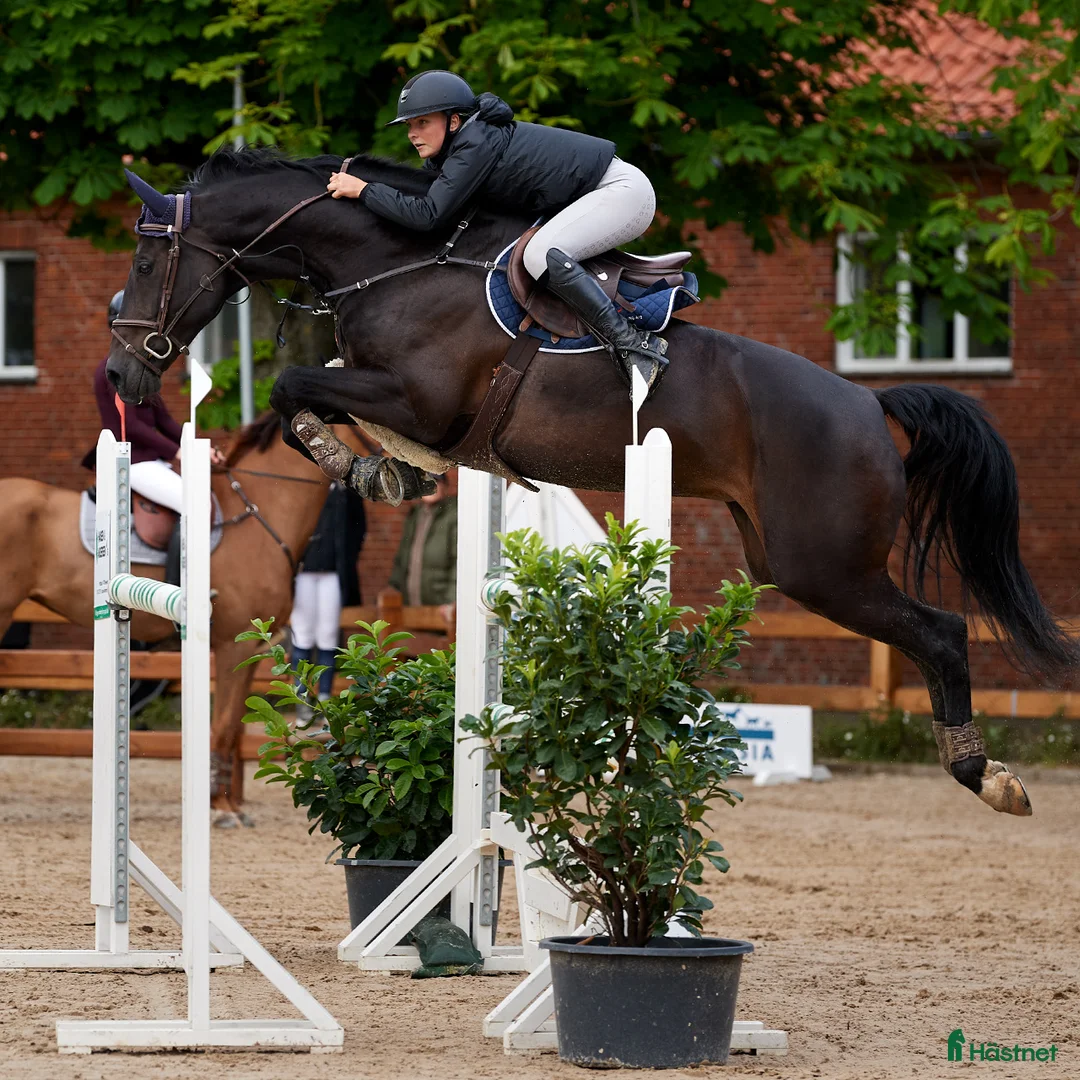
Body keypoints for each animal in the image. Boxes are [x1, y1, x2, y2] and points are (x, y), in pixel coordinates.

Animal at [0, 414, 364, 827]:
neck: (261, 512)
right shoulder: (232, 645)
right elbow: (221, 729)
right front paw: (220, 809)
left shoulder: (253, 647)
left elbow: (233, 729)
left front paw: (230, 804)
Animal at [104, 147, 1078, 817]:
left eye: (148, 262)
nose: (120, 374)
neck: (389, 260)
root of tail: (872, 405)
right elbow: (310, 394)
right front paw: (383, 467)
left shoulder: (415, 395)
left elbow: (297, 389)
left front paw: (367, 466)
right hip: (783, 560)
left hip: (824, 568)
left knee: (943, 632)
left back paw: (986, 775)